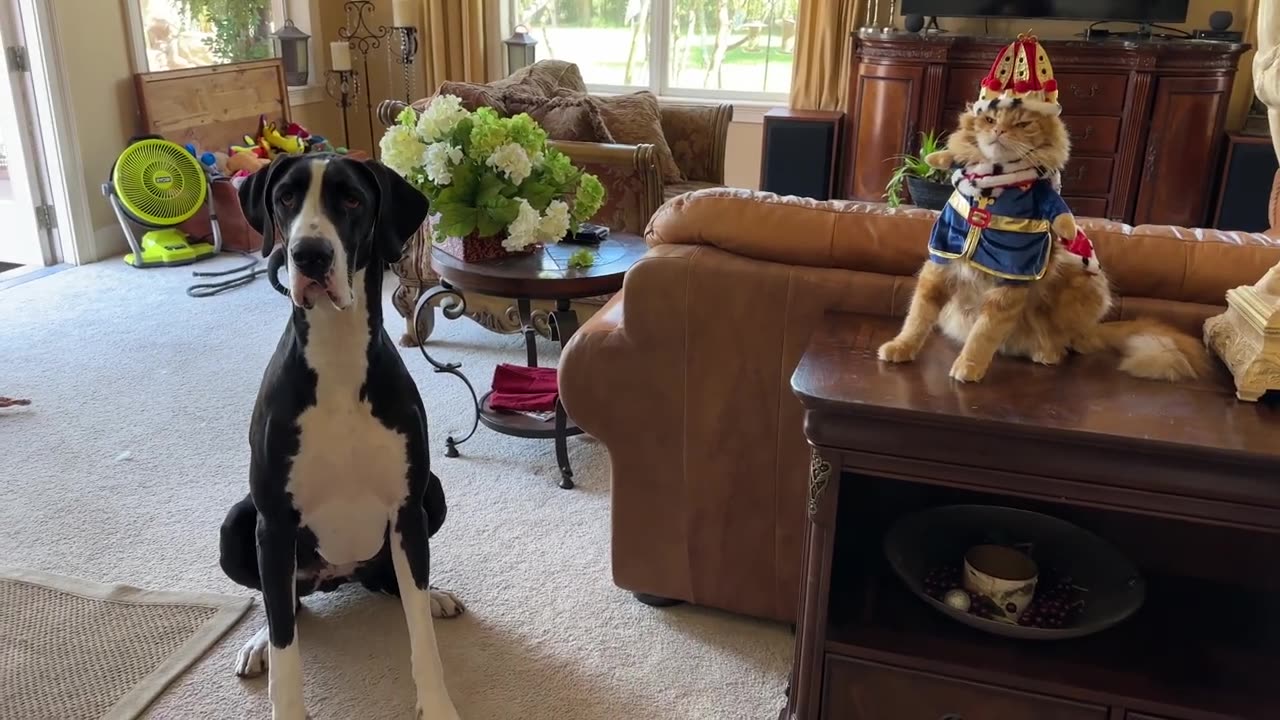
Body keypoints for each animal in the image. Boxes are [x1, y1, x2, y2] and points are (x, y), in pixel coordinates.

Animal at [875, 35, 1203, 381]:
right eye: (989, 119)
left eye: (1022, 124)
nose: (998, 131)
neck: (992, 184)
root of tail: (1092, 330)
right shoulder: (940, 264)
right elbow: (917, 317)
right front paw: (900, 348)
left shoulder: (1010, 284)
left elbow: (984, 333)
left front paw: (969, 366)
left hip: (1075, 283)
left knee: (1059, 344)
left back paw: (1044, 353)